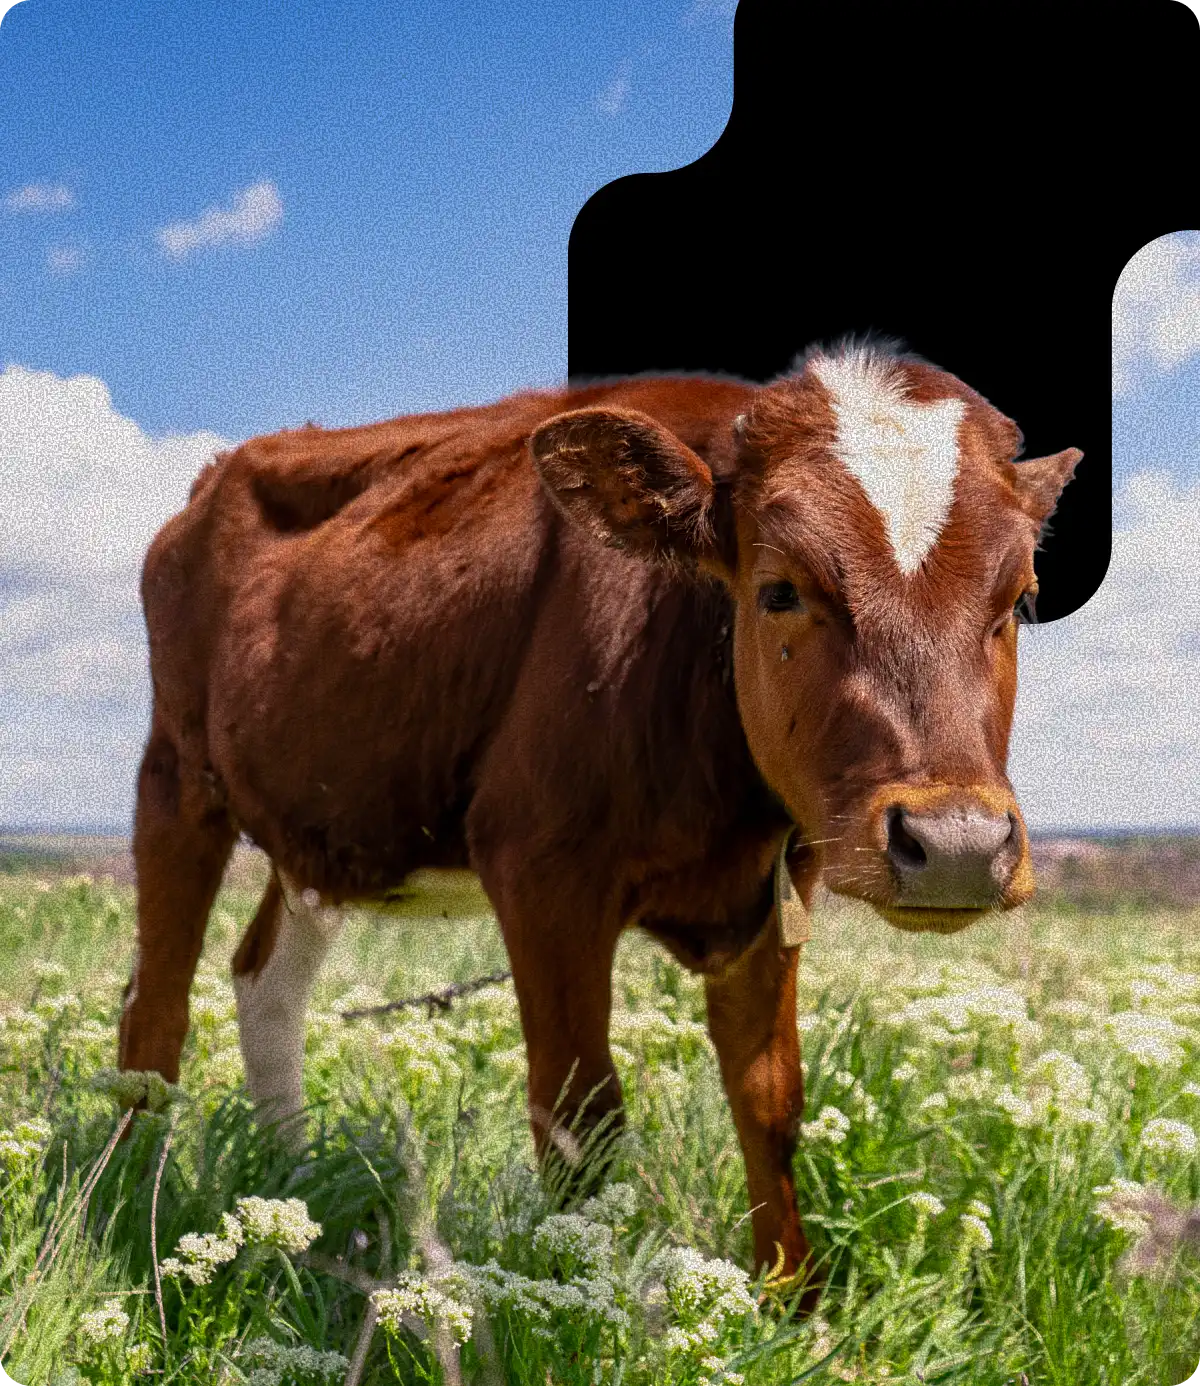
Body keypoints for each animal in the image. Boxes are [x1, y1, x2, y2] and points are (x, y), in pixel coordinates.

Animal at [117, 335, 1080, 1306]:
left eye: (1021, 598)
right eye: (778, 591)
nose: (956, 845)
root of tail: (220, 473)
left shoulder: (778, 888)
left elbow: (770, 1098)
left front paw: (792, 1306)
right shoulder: (542, 873)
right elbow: (582, 1118)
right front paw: (583, 1304)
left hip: (326, 825)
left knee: (265, 983)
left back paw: (294, 1183)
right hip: (176, 775)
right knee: (154, 1013)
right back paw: (128, 1206)